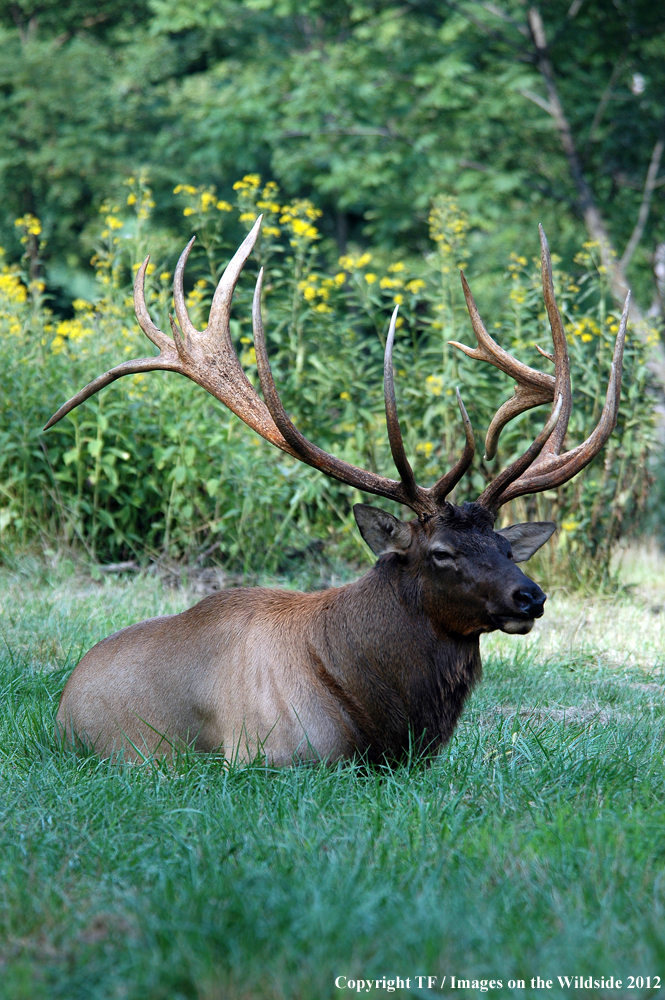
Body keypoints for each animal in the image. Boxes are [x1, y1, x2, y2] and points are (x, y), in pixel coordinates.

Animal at [46, 219, 628, 760]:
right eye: (441, 552)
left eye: (507, 547)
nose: (530, 596)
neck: (379, 720)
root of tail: (64, 696)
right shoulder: (263, 754)